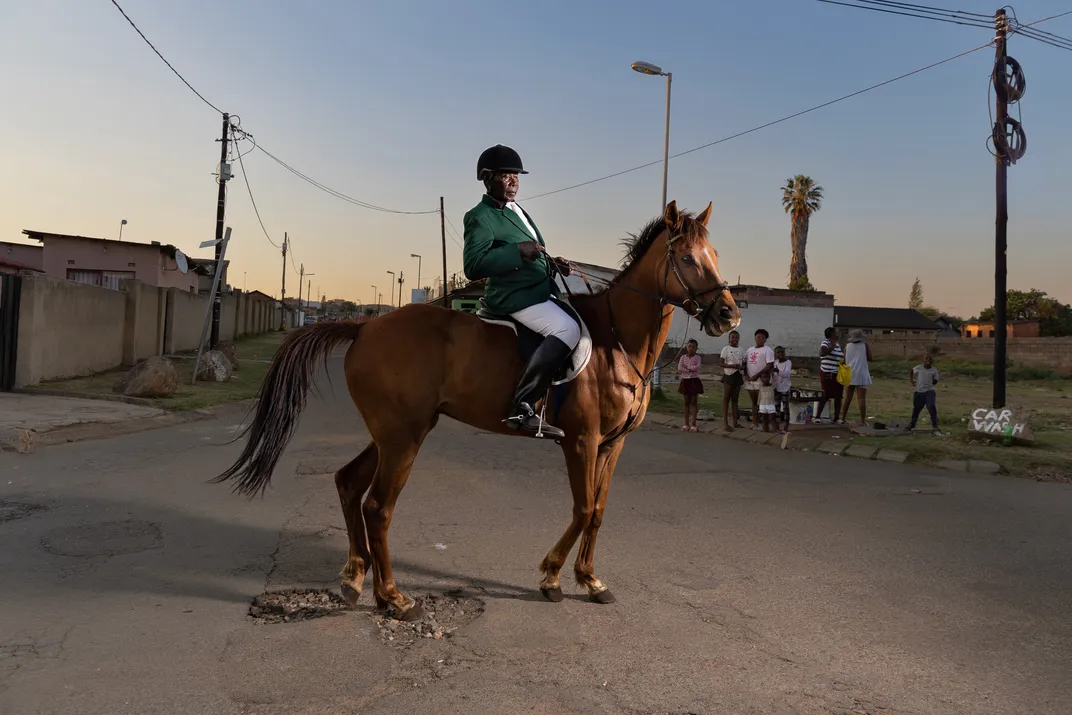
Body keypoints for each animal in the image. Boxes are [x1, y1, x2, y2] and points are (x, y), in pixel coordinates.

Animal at [215, 201, 737, 621]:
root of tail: (363, 327)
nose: (728, 315)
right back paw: (393, 597)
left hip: (394, 432)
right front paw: (551, 578)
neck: (616, 342)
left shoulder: (613, 444)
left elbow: (599, 511)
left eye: (716, 255)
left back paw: (354, 578)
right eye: (687, 258)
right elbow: (584, 506)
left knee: (349, 483)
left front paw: (591, 580)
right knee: (378, 506)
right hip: (403, 436)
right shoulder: (582, 440)